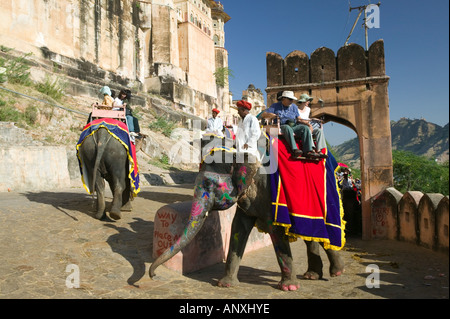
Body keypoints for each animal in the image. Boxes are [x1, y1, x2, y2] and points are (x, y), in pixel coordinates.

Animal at [149, 134, 342, 292]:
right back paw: (314, 275)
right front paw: (225, 284)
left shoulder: (269, 193)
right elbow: (238, 228)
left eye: (209, 185)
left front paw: (289, 288)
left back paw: (336, 273)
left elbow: (276, 232)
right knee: (312, 236)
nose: (153, 275)